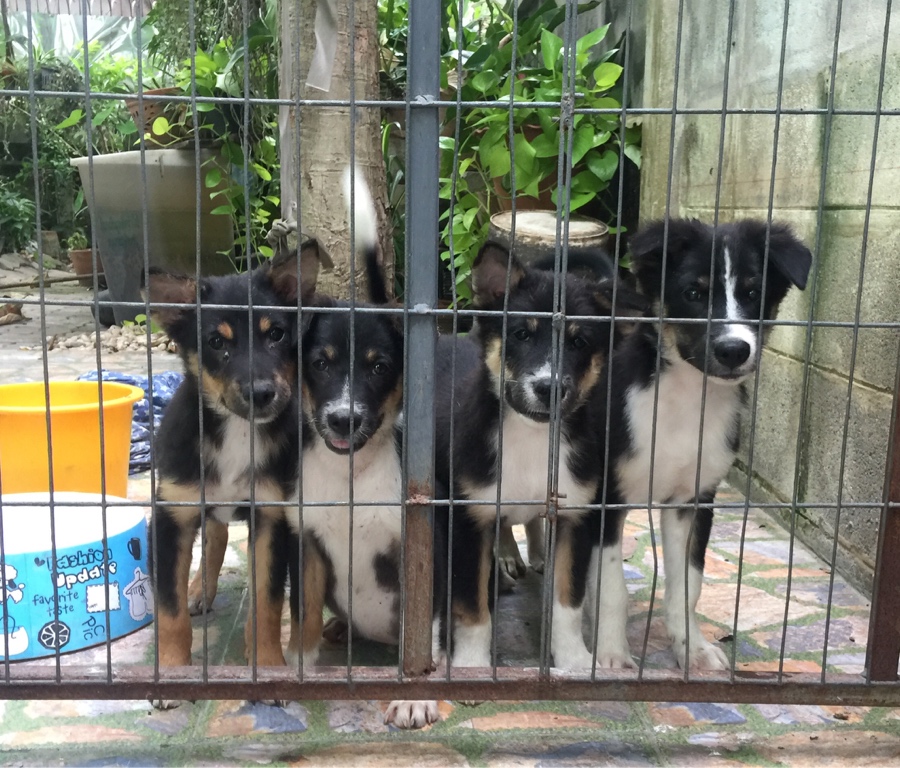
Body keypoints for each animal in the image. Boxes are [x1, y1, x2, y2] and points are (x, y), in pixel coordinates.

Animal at [146, 243, 319, 674]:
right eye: (216, 342)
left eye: (276, 334)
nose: (261, 393)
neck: (239, 431)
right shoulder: (171, 515)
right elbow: (169, 610)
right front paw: (171, 669)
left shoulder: (271, 516)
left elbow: (267, 604)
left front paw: (268, 663)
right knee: (215, 534)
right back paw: (198, 590)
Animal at [284, 169, 446, 729]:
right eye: (320, 362)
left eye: (379, 367)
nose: (342, 418)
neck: (353, 473)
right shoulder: (308, 543)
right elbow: (303, 615)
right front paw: (296, 671)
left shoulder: (420, 550)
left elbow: (423, 631)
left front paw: (417, 694)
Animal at [436, 240, 646, 670]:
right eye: (521, 334)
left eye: (579, 342)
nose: (549, 388)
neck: (533, 437)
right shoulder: (468, 516)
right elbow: (473, 608)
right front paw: (472, 665)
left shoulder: (575, 517)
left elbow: (568, 602)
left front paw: (574, 661)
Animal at [586, 218, 813, 670]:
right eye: (692, 293)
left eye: (752, 294)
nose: (733, 350)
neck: (688, 398)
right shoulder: (608, 497)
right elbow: (611, 586)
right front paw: (613, 654)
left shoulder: (693, 500)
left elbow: (688, 586)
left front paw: (693, 648)